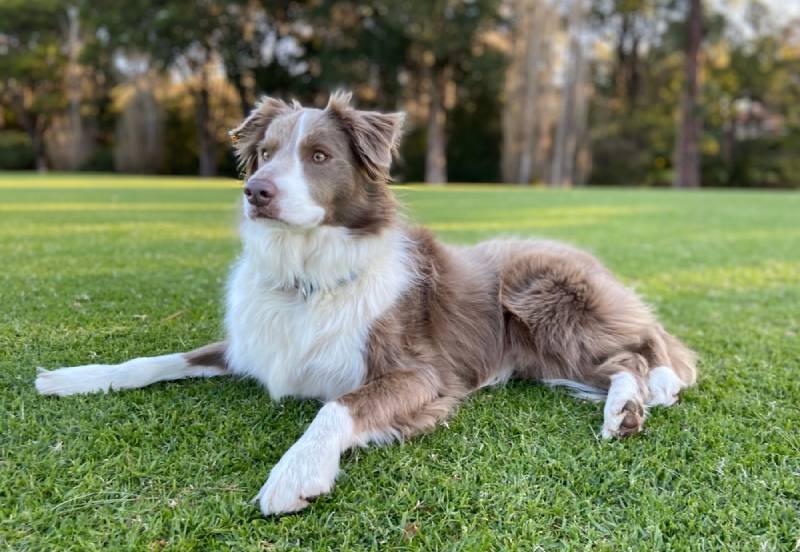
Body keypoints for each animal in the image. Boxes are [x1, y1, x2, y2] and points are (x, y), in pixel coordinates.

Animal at [36, 91, 692, 516]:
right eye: (266, 153)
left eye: (319, 156)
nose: (255, 192)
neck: (305, 277)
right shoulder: (250, 345)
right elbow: (156, 359)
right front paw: (74, 377)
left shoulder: (421, 375)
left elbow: (336, 407)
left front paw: (295, 473)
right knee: (621, 357)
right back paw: (624, 408)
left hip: (542, 299)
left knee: (642, 346)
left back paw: (639, 398)